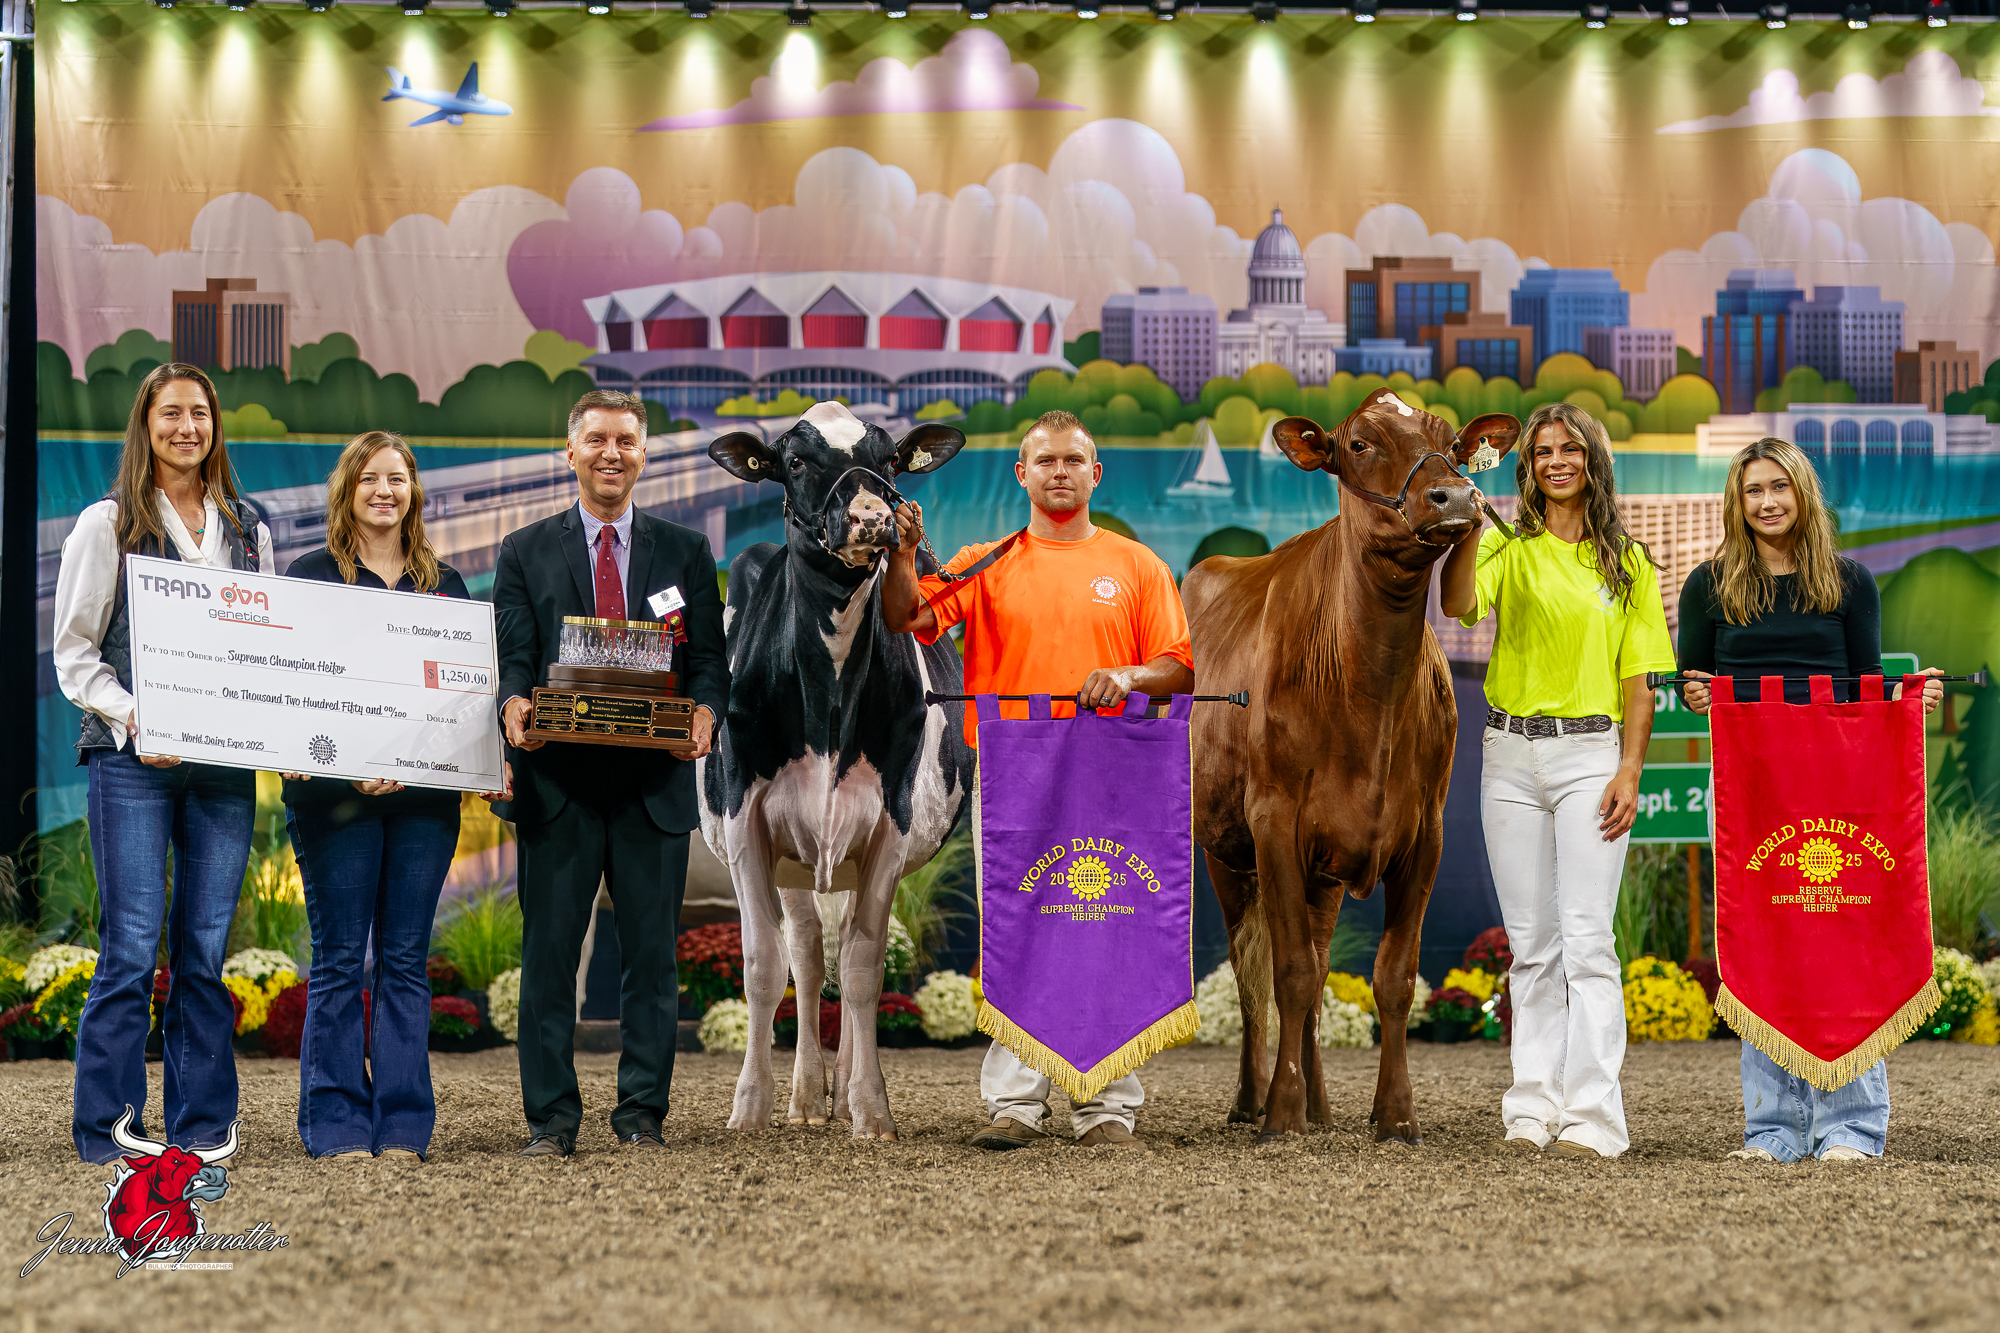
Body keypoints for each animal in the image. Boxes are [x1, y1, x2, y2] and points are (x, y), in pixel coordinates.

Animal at [701, 401, 975, 1140]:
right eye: (795, 461)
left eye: (890, 461)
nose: (873, 516)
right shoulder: (744, 823)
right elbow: (764, 966)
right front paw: (750, 1105)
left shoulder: (891, 822)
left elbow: (863, 966)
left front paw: (871, 1107)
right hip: (791, 857)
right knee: (803, 949)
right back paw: (803, 1097)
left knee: (843, 945)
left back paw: (843, 1092)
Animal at [1182, 387, 1520, 1144]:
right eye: (1360, 443)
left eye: (1452, 440)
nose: (1455, 495)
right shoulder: (1274, 820)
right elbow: (1286, 973)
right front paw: (1279, 1114)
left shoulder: (1425, 831)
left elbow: (1390, 975)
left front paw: (1393, 1113)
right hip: (1223, 847)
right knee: (1252, 971)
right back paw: (1253, 1099)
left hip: (1324, 871)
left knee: (1315, 959)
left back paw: (1320, 1104)